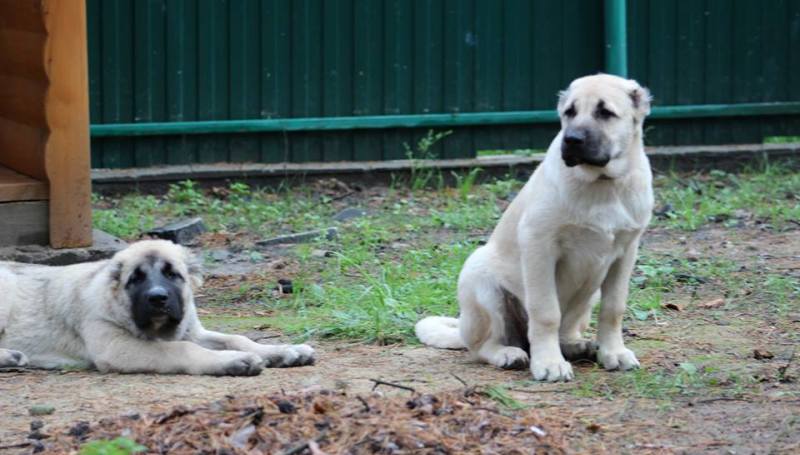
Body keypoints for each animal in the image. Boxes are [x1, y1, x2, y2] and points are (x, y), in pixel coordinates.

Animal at [0, 240, 312, 376]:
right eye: (135, 279)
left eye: (173, 274)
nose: (158, 298)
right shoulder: (117, 347)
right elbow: (181, 349)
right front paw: (235, 360)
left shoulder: (191, 331)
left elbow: (237, 338)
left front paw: (283, 351)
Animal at [416, 74, 652, 382]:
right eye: (569, 112)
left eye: (605, 113)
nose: (571, 140)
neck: (602, 183)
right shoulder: (539, 245)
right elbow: (546, 312)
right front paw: (549, 363)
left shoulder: (625, 252)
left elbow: (614, 308)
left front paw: (614, 352)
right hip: (483, 285)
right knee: (483, 347)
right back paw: (508, 354)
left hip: (589, 295)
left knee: (566, 330)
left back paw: (579, 346)